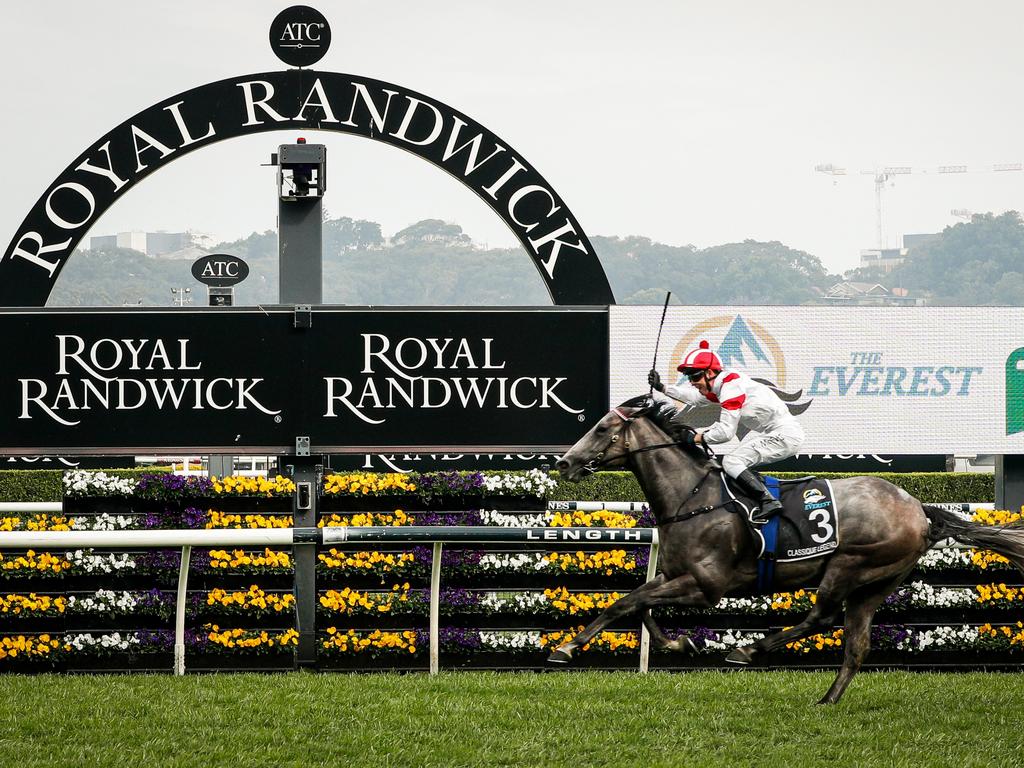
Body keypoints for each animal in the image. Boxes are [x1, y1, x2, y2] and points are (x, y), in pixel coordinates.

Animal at [552, 399, 1024, 708]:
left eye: (601, 428)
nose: (563, 463)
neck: (694, 497)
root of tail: (917, 508)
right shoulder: (673, 576)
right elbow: (640, 606)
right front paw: (678, 644)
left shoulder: (706, 585)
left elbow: (627, 603)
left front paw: (567, 648)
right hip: (877, 583)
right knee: (856, 645)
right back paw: (827, 700)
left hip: (851, 565)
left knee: (822, 618)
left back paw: (750, 650)